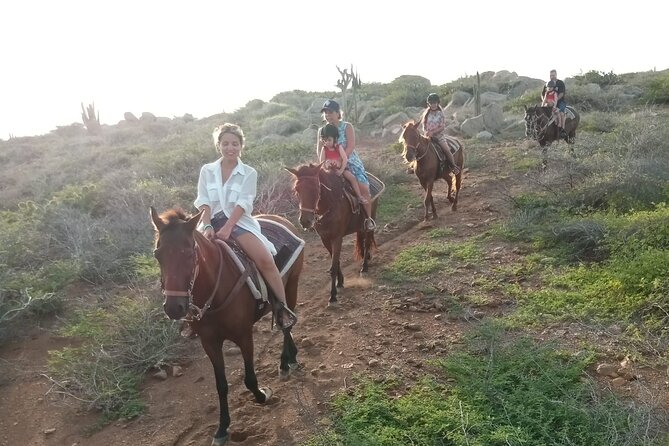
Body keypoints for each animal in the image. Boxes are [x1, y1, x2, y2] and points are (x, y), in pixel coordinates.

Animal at [150, 207, 304, 444]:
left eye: (189, 253)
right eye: (158, 255)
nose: (174, 308)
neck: (216, 287)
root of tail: (280, 219)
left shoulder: (244, 336)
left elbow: (249, 379)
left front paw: (262, 395)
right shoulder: (210, 343)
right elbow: (221, 385)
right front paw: (222, 428)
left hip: (291, 285)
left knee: (286, 324)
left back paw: (287, 362)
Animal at [284, 164, 384, 306]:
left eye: (316, 188)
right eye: (296, 189)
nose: (305, 221)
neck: (330, 204)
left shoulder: (337, 238)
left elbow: (333, 266)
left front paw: (332, 297)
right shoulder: (325, 239)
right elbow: (336, 263)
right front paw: (340, 282)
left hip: (371, 218)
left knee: (368, 240)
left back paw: (364, 267)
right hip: (360, 226)